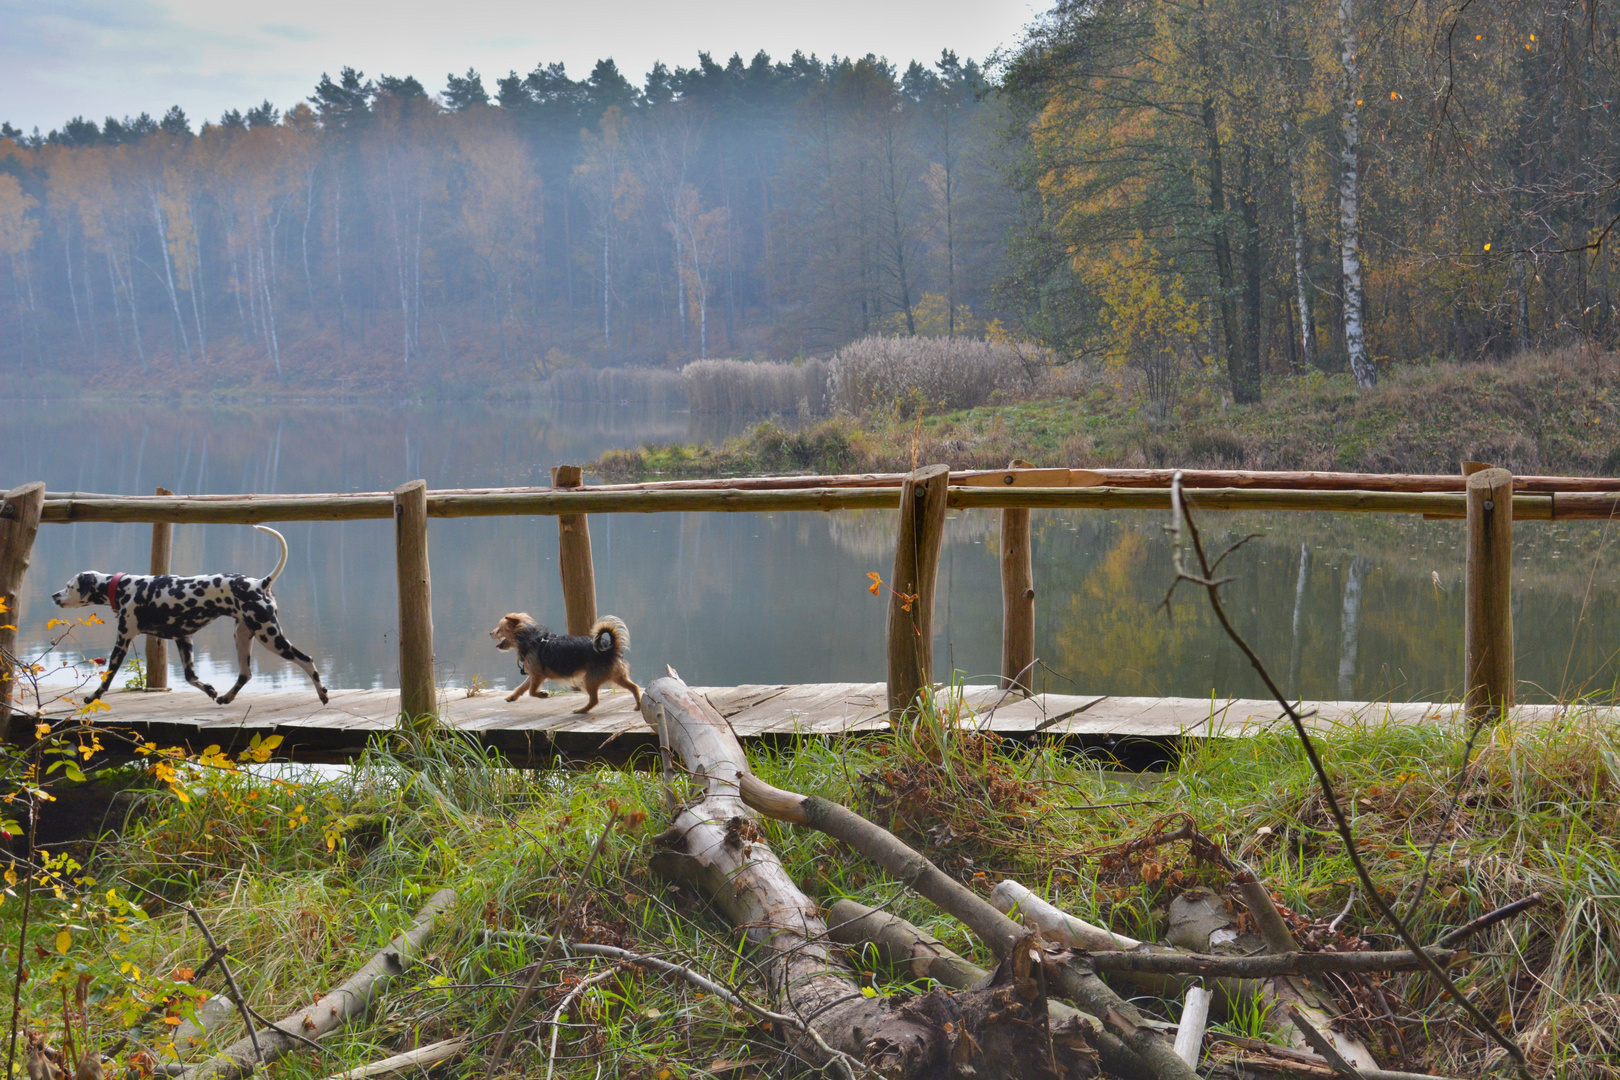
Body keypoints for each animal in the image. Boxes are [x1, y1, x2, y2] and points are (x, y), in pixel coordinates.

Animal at [51, 524, 328, 709]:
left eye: (68, 586)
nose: (54, 596)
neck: (125, 587)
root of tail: (260, 583)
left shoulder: (122, 642)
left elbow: (107, 678)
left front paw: (92, 697)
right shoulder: (183, 639)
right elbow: (191, 677)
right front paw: (210, 690)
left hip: (270, 637)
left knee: (306, 660)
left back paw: (322, 693)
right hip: (243, 636)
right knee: (245, 674)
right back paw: (226, 696)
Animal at [489, 612, 641, 712]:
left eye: (499, 629)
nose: (490, 632)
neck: (531, 639)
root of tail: (610, 648)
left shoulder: (538, 675)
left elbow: (531, 691)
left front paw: (542, 694)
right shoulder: (533, 674)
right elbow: (522, 687)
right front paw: (512, 696)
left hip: (589, 679)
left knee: (594, 700)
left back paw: (581, 710)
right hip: (617, 676)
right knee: (634, 687)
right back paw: (638, 705)